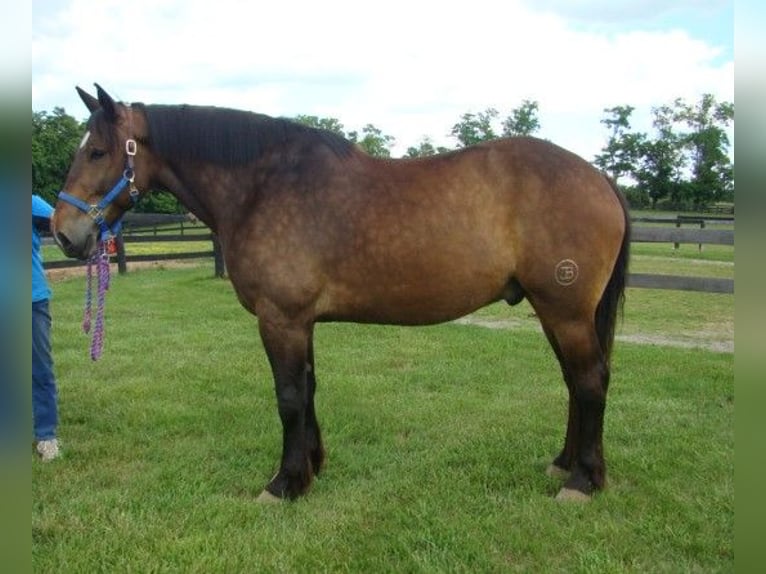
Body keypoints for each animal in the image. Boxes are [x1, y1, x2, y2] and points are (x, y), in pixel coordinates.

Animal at [52, 84, 630, 503]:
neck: (263, 186)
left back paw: (581, 482)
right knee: (575, 382)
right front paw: (312, 468)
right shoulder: (299, 321)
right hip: (554, 311)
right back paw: (565, 464)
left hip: (565, 311)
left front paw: (283, 485)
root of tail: (599, 177)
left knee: (590, 381)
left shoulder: (280, 318)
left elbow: (288, 397)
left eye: (98, 151)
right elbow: (307, 390)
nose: (61, 233)